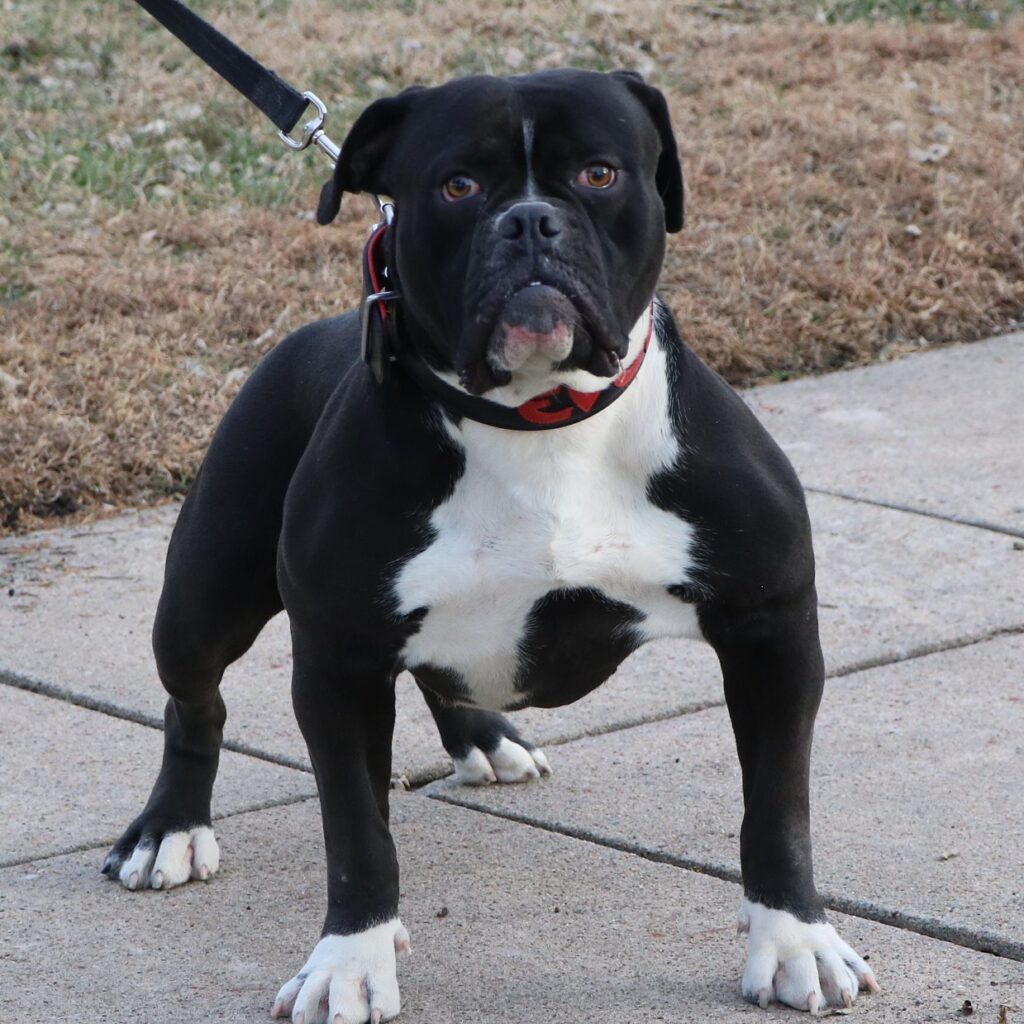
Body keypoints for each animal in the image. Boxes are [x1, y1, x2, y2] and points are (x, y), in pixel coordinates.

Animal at [101, 68, 880, 1019]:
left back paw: (482, 736)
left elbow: (777, 809)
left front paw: (797, 941)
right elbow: (357, 836)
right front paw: (349, 963)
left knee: (441, 670)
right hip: (205, 595)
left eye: (598, 174)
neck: (538, 417)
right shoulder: (338, 660)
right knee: (195, 700)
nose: (530, 221)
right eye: (458, 186)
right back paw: (169, 829)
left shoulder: (771, 630)